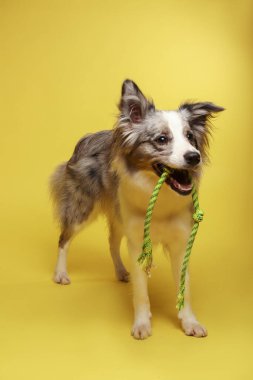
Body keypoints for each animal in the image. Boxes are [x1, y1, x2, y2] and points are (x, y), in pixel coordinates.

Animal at [49, 79, 223, 338]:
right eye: (161, 139)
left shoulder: (181, 243)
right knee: (64, 238)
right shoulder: (139, 241)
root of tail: (88, 137)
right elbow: (141, 292)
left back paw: (121, 272)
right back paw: (60, 274)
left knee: (112, 243)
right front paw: (142, 325)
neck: (160, 198)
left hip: (119, 216)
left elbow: (185, 288)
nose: (194, 157)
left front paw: (189, 322)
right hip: (82, 207)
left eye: (190, 136)